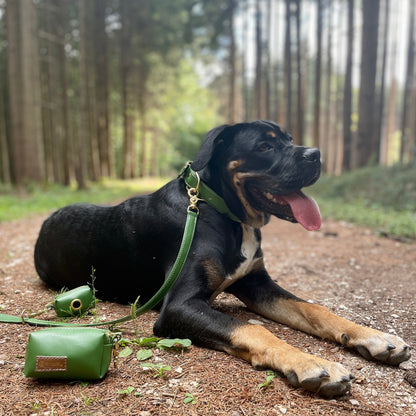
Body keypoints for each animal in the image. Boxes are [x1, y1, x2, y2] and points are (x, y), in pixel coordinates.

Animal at [34, 119, 412, 396]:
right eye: (264, 146)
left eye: (289, 139)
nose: (317, 154)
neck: (225, 213)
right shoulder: (179, 306)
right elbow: (253, 329)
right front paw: (311, 364)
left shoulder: (257, 283)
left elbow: (315, 309)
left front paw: (377, 338)